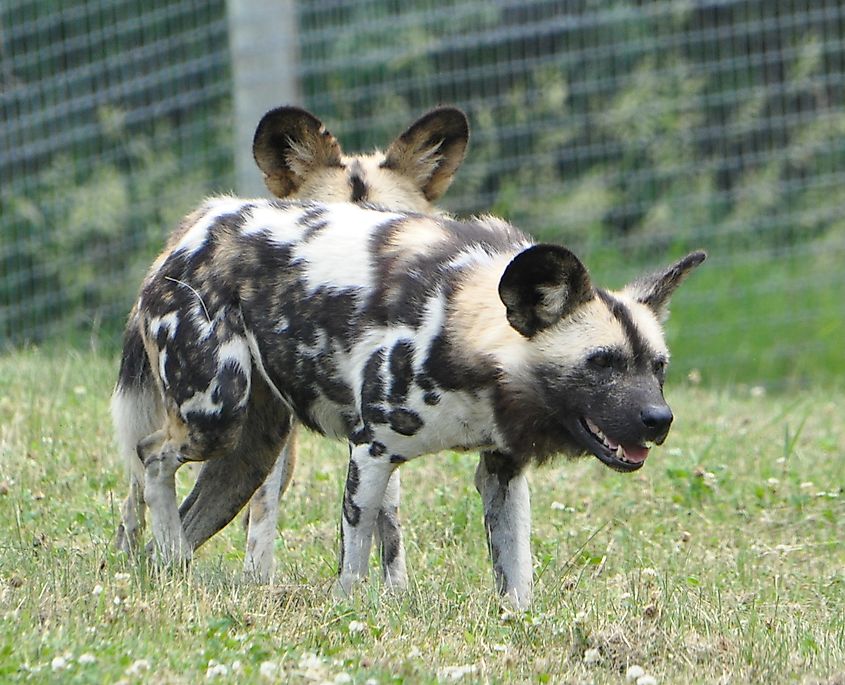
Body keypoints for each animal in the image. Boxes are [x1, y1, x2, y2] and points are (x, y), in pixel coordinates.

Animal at [112, 105, 468, 584]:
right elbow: (265, 517)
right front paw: (259, 581)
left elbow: (386, 519)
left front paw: (394, 590)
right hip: (224, 419)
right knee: (142, 485)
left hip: (249, 444)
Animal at [115, 190, 704, 608]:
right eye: (601, 363)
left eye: (658, 367)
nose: (659, 420)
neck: (464, 331)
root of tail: (195, 228)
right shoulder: (371, 452)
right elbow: (353, 563)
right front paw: (346, 611)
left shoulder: (503, 469)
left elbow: (516, 575)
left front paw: (519, 624)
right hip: (216, 413)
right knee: (151, 455)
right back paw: (171, 556)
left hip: (250, 452)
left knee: (189, 506)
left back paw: (171, 575)